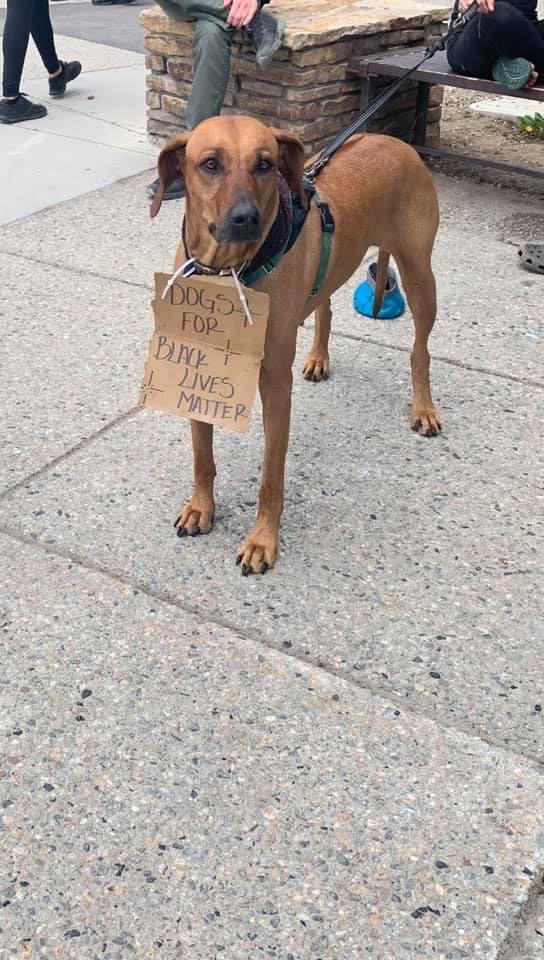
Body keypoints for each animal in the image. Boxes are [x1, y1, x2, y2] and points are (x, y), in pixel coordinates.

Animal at [151, 116, 440, 572]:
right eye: (210, 163)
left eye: (265, 164)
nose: (246, 218)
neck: (228, 271)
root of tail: (394, 141)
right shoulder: (199, 366)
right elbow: (202, 455)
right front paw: (201, 507)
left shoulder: (274, 385)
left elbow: (271, 473)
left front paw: (262, 540)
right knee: (326, 308)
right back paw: (319, 357)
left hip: (419, 275)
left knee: (420, 350)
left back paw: (424, 407)